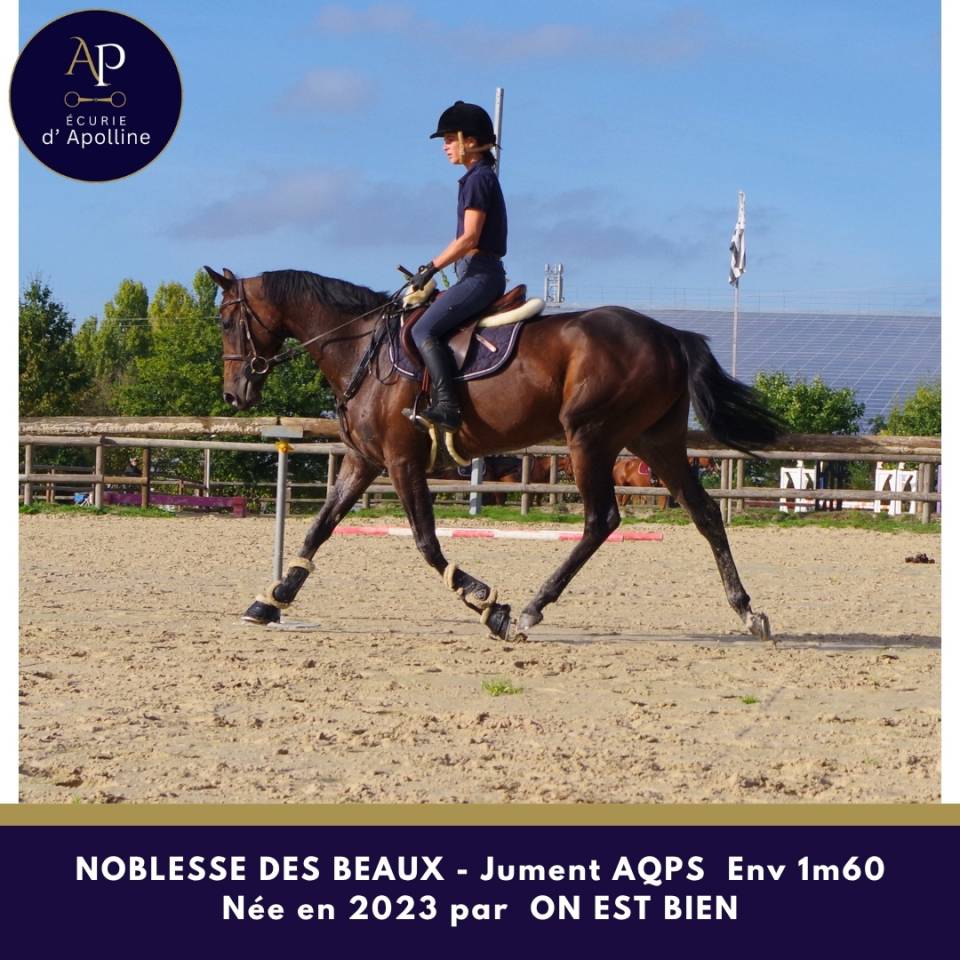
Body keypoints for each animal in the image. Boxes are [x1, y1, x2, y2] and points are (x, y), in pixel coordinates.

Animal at [205, 266, 783, 642]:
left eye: (228, 323)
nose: (234, 395)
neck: (360, 348)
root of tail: (668, 334)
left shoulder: (401, 461)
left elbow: (426, 542)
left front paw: (487, 603)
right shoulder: (362, 460)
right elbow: (319, 528)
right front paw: (271, 600)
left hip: (589, 437)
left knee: (601, 519)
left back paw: (530, 610)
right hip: (652, 440)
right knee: (704, 513)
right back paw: (747, 612)